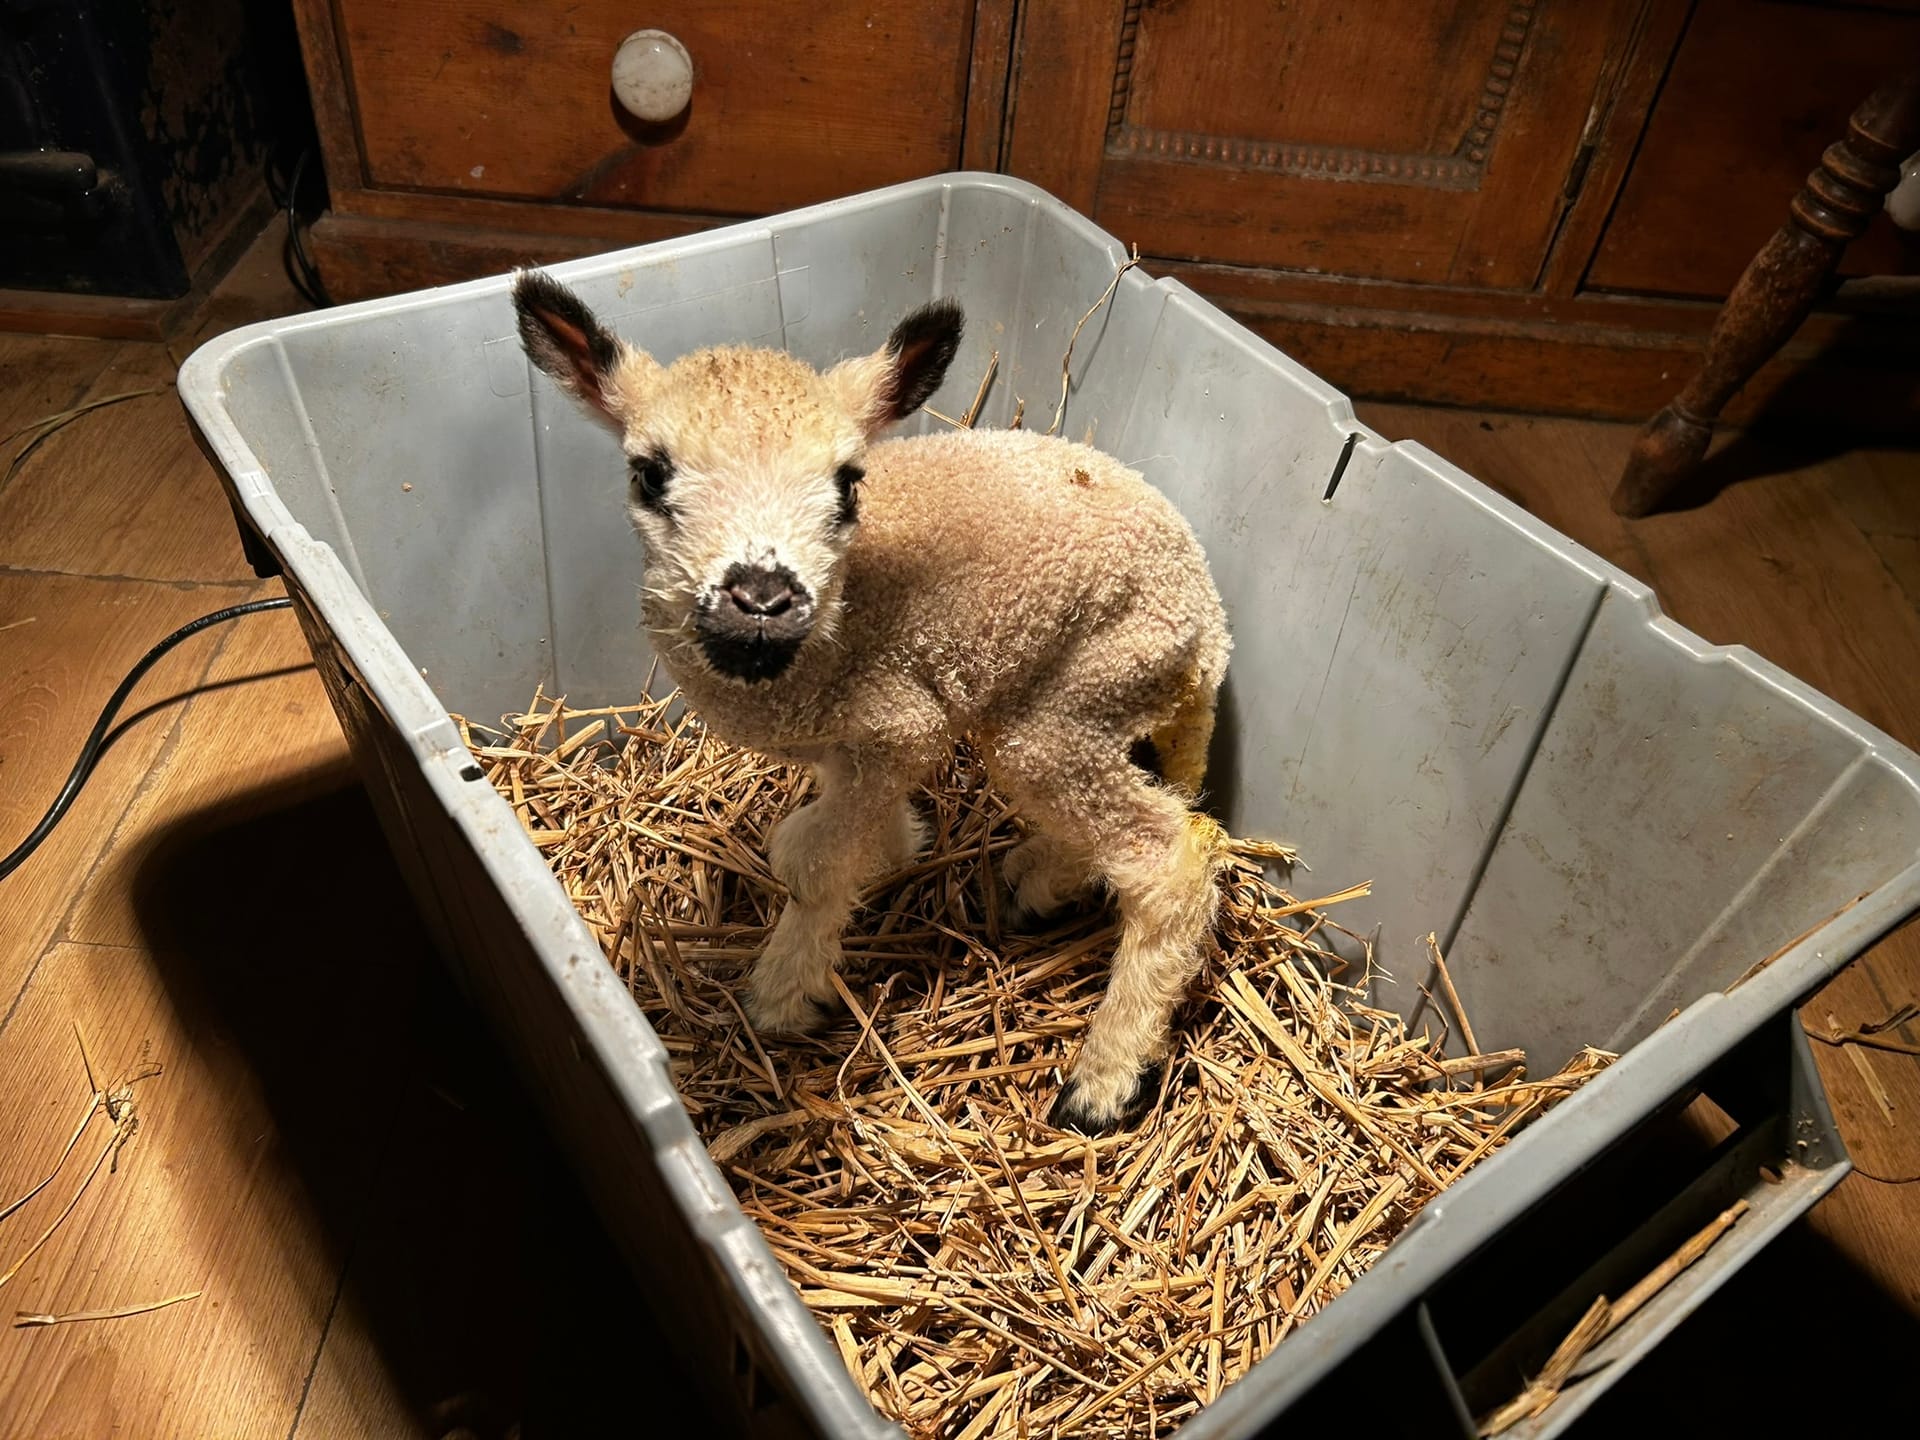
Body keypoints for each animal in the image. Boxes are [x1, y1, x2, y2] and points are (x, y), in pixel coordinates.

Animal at [512, 269, 1232, 1134]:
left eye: (848, 483)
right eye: (650, 473)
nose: (762, 597)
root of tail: (1208, 622)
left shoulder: (896, 722)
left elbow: (817, 863)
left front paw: (782, 997)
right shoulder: (861, 747)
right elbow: (837, 838)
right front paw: (896, 848)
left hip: (1081, 689)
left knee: (1168, 852)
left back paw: (1105, 1079)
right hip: (1088, 701)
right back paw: (1037, 881)